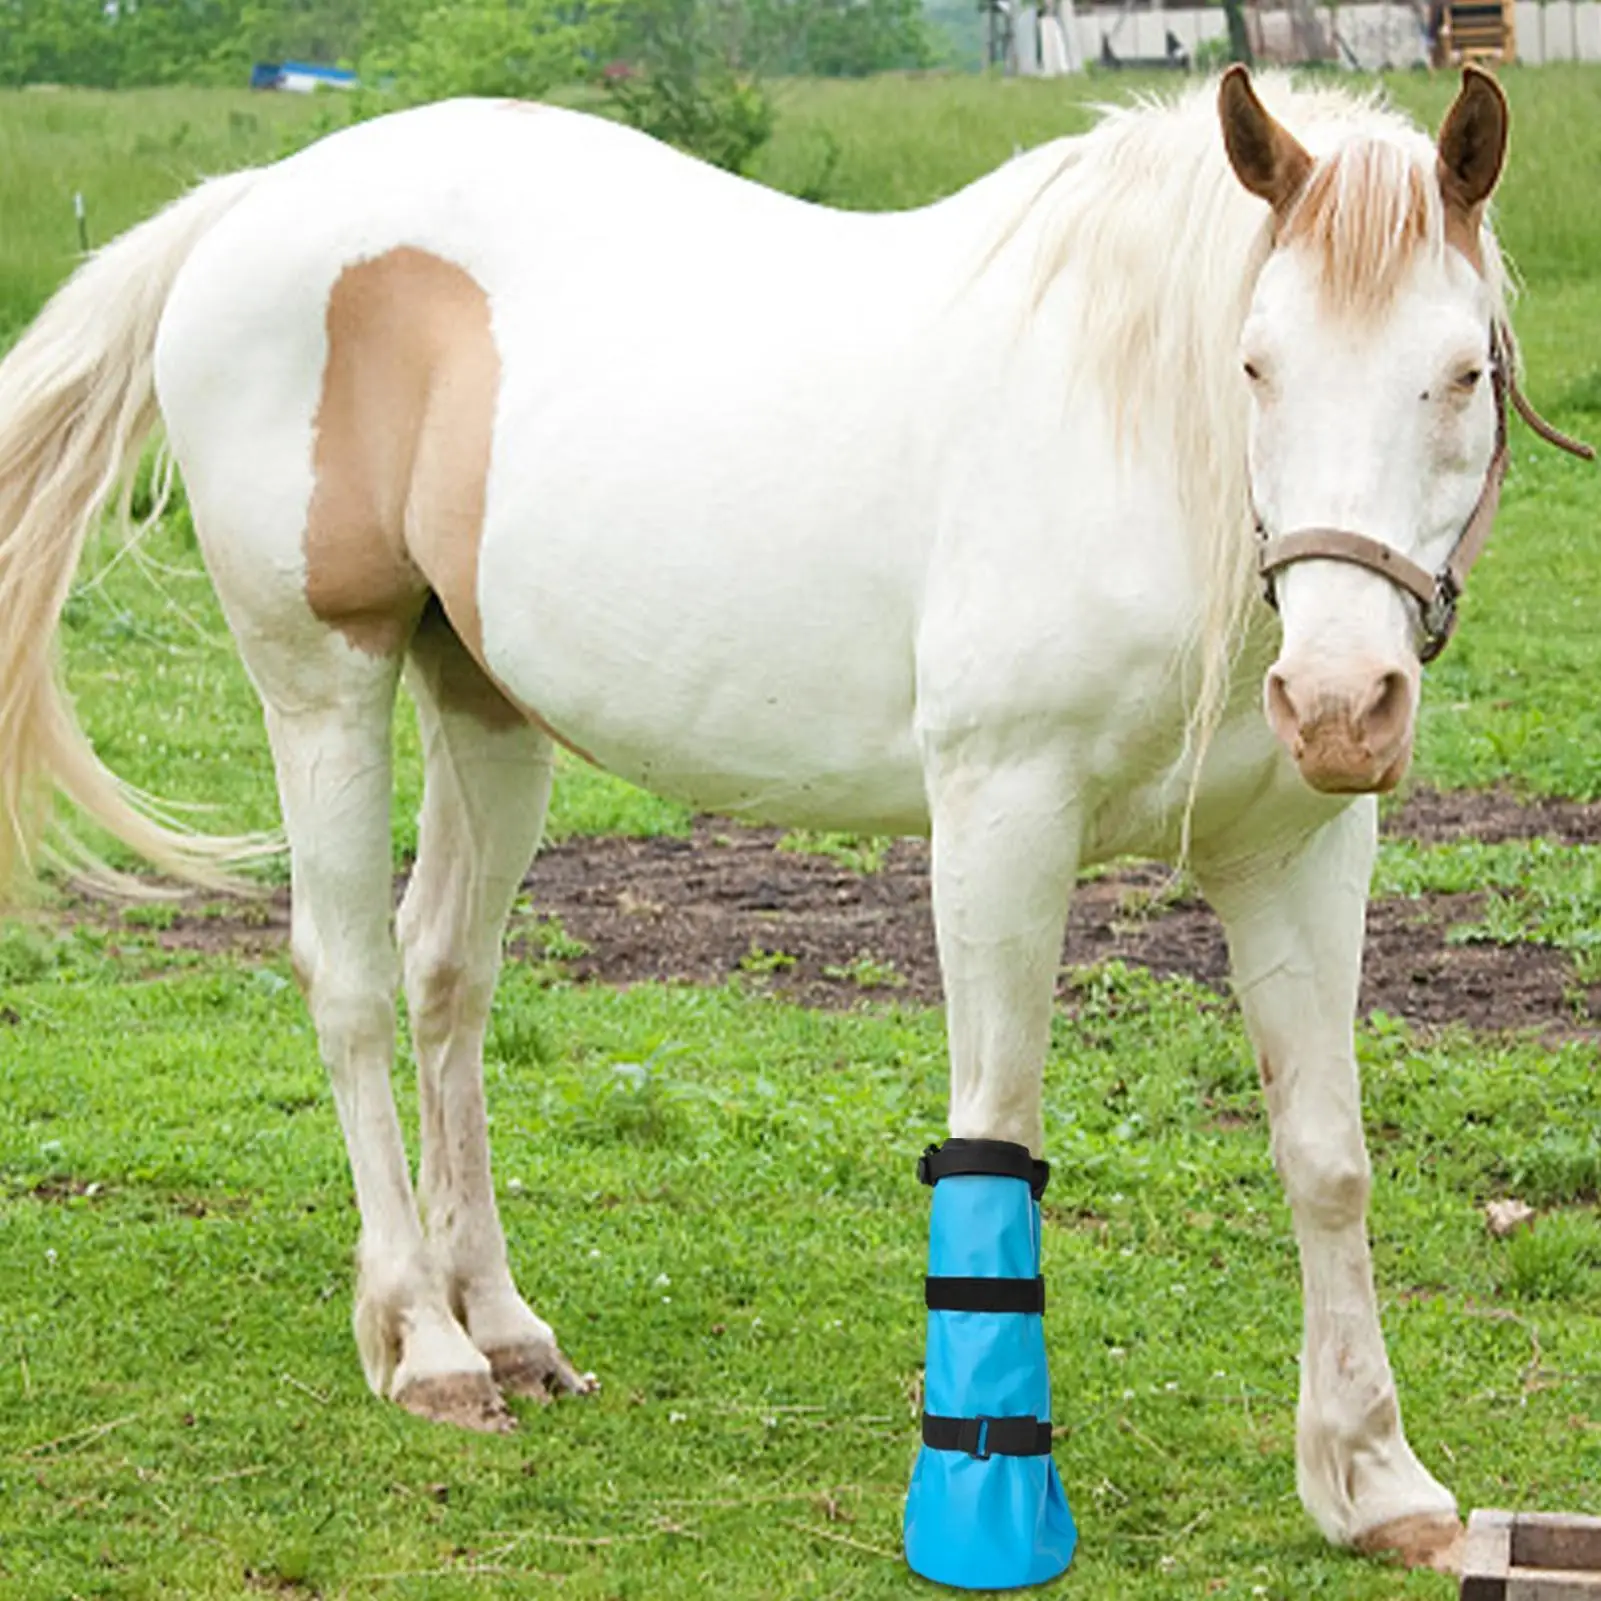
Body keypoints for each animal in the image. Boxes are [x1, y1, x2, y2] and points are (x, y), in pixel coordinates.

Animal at [0, 64, 1570, 1571]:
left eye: (1459, 372)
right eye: (1252, 362)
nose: (1340, 700)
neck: (1141, 458)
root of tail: (257, 198)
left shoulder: (1295, 852)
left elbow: (1326, 1156)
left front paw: (1374, 1481)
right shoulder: (1001, 817)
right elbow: (997, 1131)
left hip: (484, 704)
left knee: (449, 975)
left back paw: (501, 1325)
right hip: (322, 679)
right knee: (353, 983)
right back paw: (425, 1342)